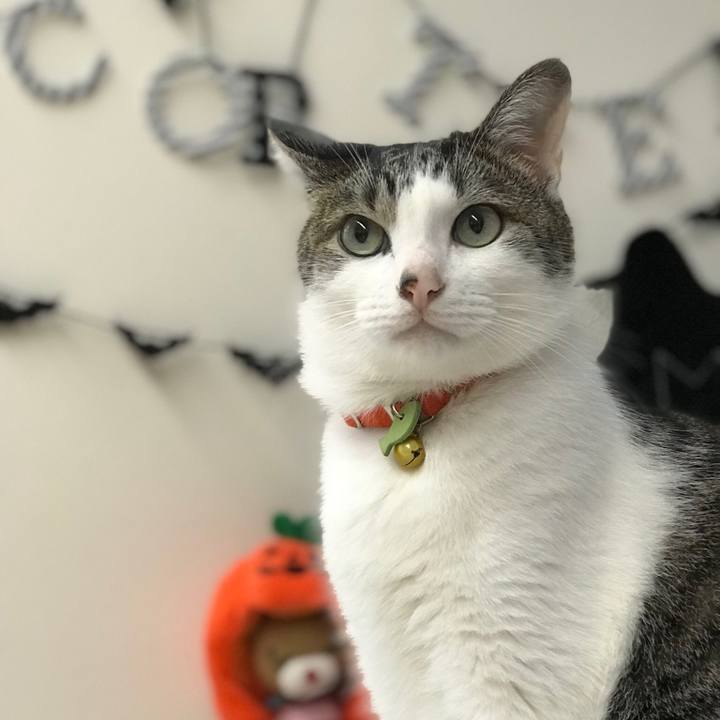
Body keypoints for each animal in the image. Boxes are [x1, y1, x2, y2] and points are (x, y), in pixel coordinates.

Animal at [268, 59, 720, 720]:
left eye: (477, 225)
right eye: (359, 235)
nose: (419, 284)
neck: (420, 429)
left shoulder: (508, 674)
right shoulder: (392, 672)